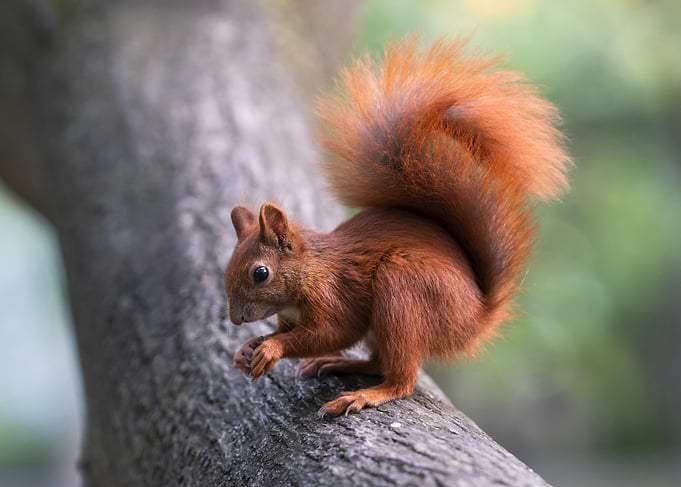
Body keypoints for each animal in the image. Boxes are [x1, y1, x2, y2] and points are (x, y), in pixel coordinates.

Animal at [224, 38, 570, 417]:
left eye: (260, 273)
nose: (236, 319)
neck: (310, 268)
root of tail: (475, 319)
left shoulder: (334, 295)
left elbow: (334, 332)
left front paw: (272, 348)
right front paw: (248, 348)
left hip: (403, 288)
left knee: (402, 378)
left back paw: (364, 394)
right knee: (379, 361)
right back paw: (339, 364)